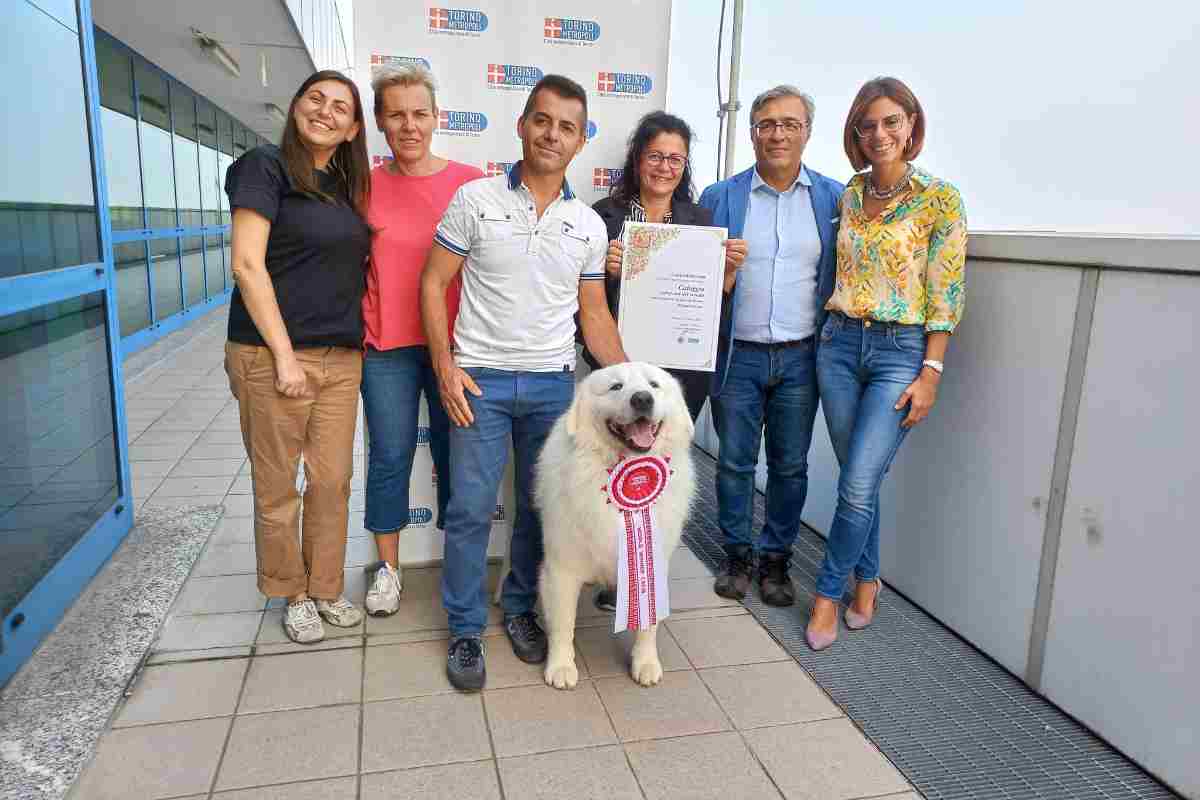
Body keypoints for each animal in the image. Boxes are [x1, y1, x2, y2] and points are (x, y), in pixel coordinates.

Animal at [535, 362, 696, 690]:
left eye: (654, 385)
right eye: (616, 387)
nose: (642, 399)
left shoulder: (653, 563)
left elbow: (648, 624)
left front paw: (645, 663)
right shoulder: (561, 568)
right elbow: (563, 624)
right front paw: (561, 666)